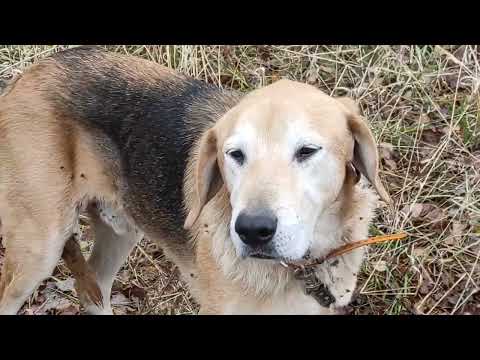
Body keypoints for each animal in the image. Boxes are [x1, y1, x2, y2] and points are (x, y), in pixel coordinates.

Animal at [0, 46, 390, 314]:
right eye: (235, 155)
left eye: (307, 150)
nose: (252, 231)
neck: (301, 266)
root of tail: (28, 74)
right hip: (39, 246)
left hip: (120, 230)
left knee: (93, 290)